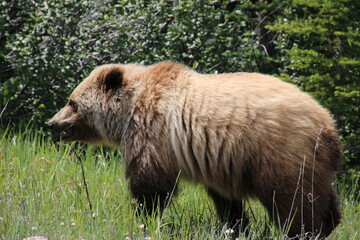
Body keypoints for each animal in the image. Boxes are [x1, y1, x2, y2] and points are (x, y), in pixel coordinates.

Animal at [49, 60, 342, 238]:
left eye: (72, 102)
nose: (52, 123)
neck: (127, 113)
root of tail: (328, 124)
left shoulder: (153, 133)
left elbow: (150, 185)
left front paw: (143, 219)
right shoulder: (220, 160)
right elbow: (226, 201)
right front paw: (235, 227)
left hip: (280, 152)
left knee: (293, 199)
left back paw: (301, 231)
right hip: (314, 160)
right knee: (322, 195)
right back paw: (329, 225)